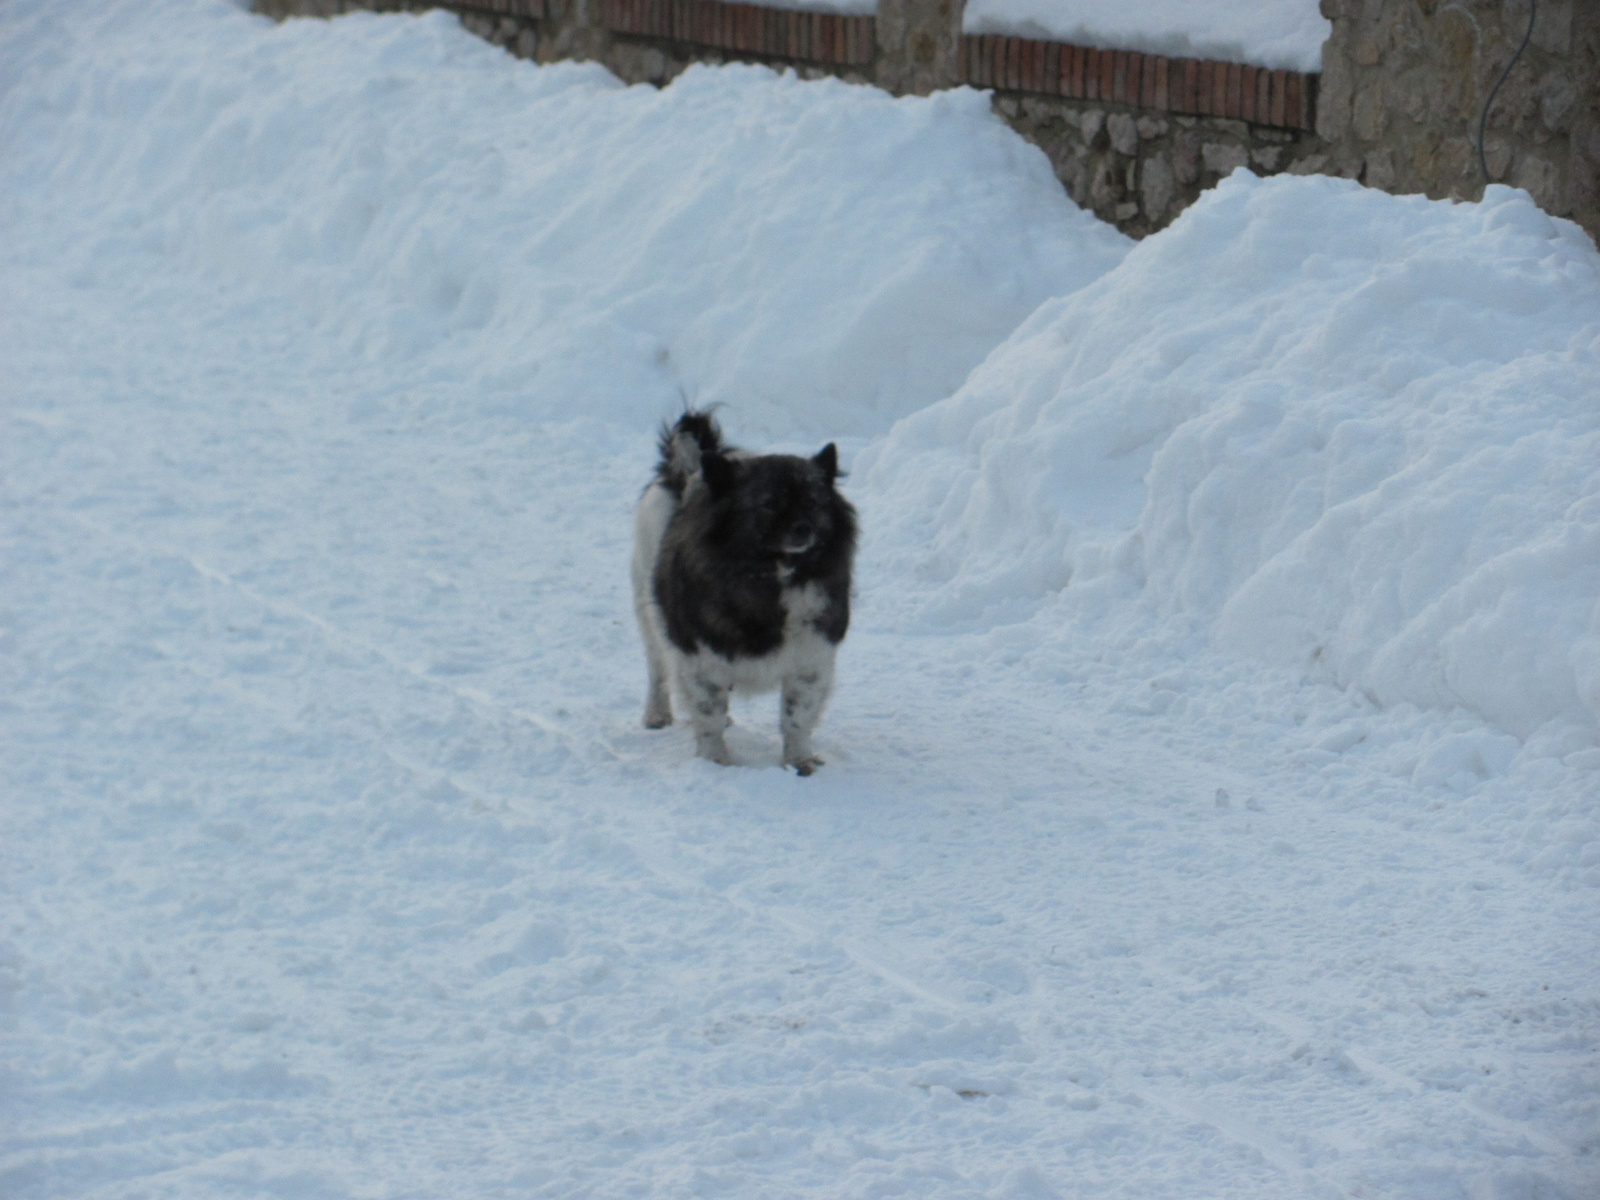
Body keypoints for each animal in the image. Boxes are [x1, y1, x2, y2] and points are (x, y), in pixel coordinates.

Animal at [633, 409, 864, 774]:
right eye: (769, 504)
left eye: (813, 502)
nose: (804, 529)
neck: (770, 577)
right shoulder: (700, 659)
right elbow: (709, 716)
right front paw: (714, 762)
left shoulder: (811, 659)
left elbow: (796, 717)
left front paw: (800, 762)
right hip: (648, 613)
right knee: (658, 669)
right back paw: (657, 714)